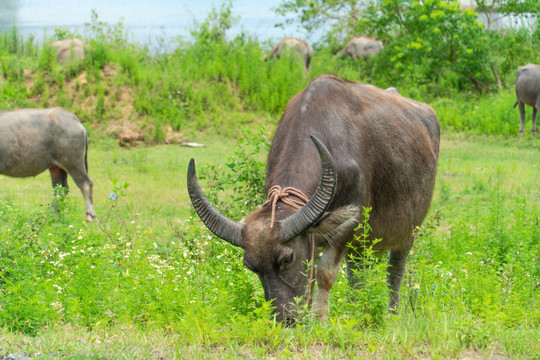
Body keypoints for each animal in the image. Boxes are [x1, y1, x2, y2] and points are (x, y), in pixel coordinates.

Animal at [188, 74, 440, 322]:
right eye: (250, 266)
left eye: (287, 259)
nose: (283, 319)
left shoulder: (349, 224)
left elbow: (324, 272)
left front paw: (319, 319)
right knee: (357, 270)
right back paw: (356, 310)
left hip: (409, 231)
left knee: (395, 270)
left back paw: (392, 313)